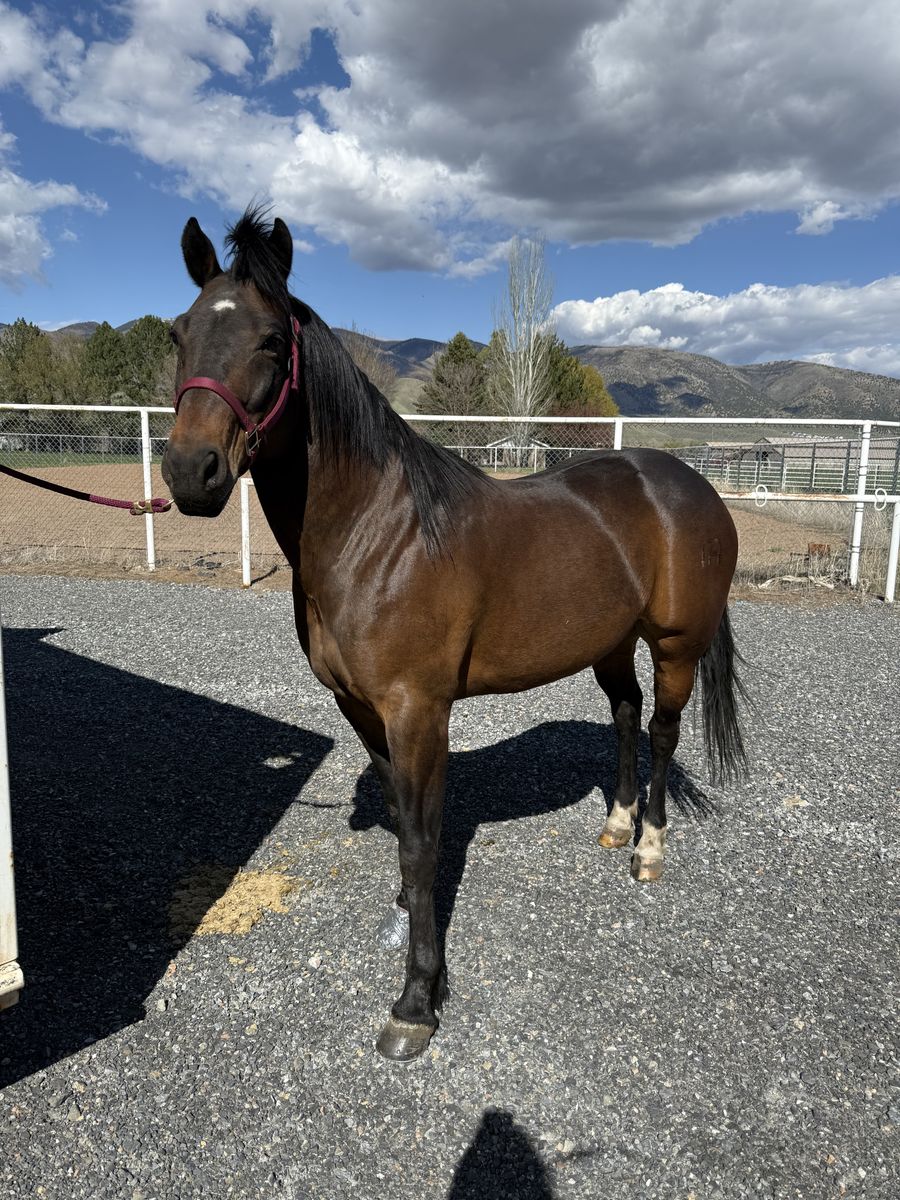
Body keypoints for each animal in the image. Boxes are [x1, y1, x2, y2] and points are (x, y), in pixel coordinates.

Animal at [161, 207, 746, 1061]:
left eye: (271, 341)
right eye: (179, 333)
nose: (190, 473)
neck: (378, 532)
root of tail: (689, 482)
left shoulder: (417, 711)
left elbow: (422, 838)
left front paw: (417, 998)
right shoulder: (360, 709)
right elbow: (404, 827)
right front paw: (411, 912)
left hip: (676, 643)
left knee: (665, 731)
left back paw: (648, 850)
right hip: (609, 642)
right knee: (625, 716)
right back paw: (614, 826)